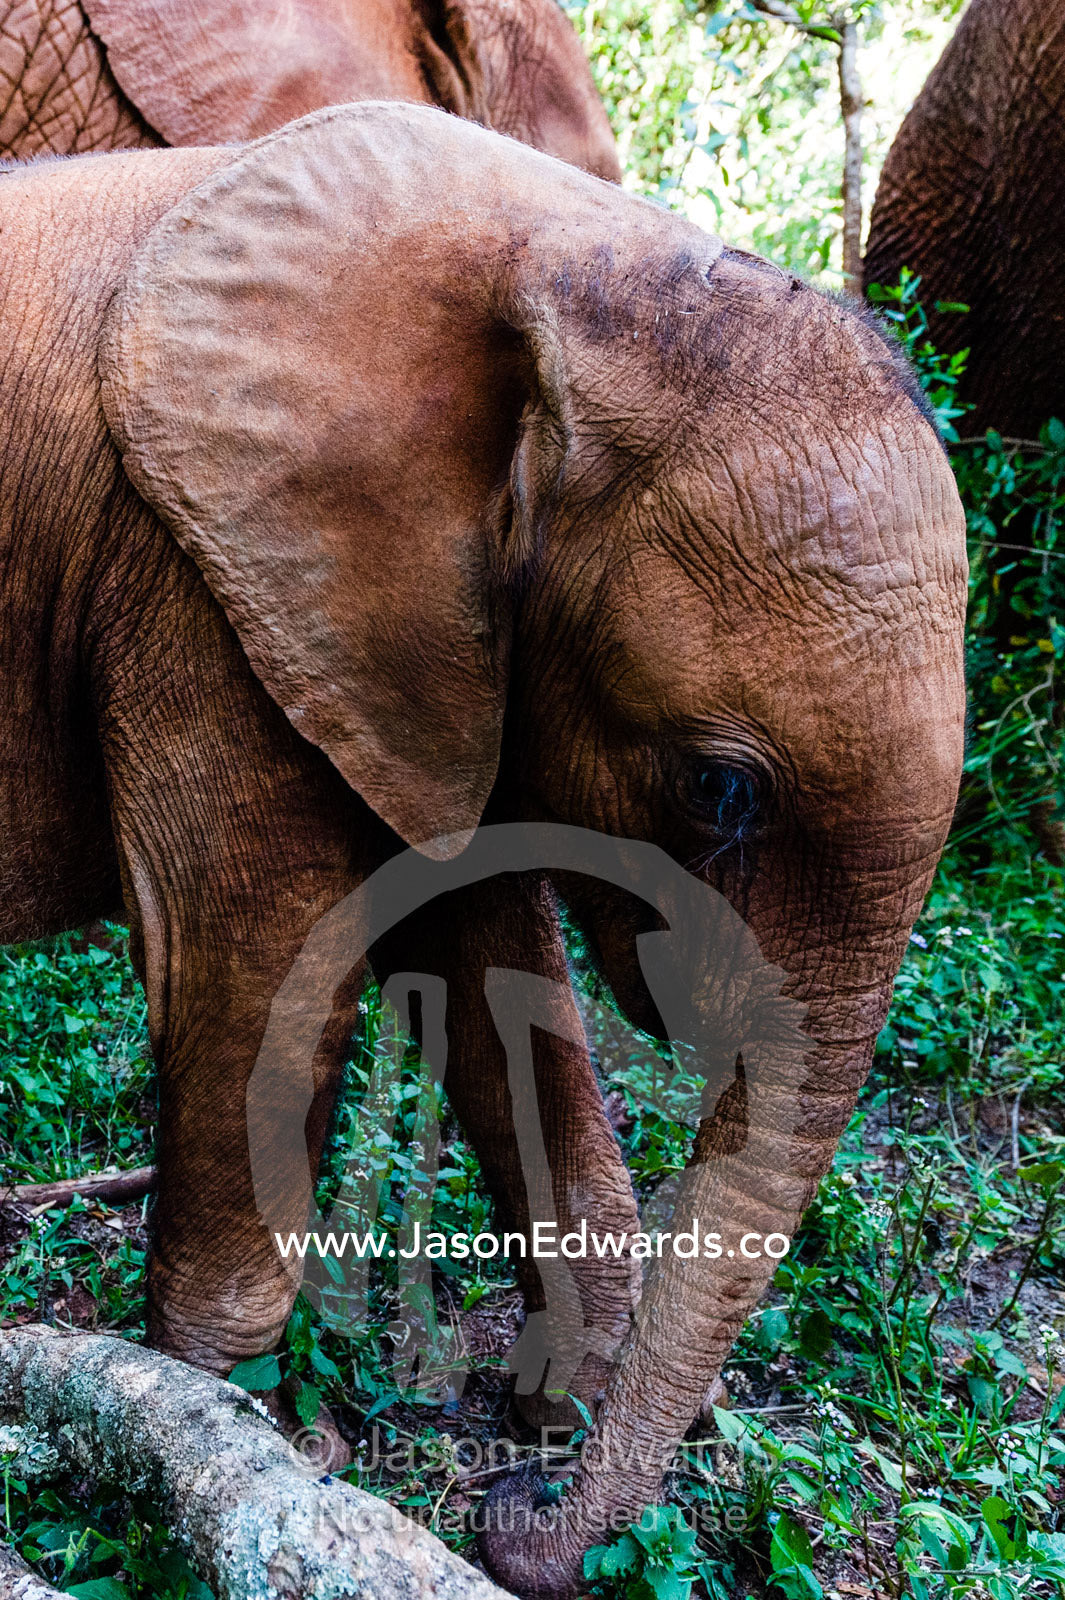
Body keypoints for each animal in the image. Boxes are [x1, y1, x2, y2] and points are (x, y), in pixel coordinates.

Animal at [0, 102, 966, 1597]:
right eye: (719, 788)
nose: (511, 1515)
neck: (570, 259)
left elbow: (483, 955)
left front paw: (541, 1410)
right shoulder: (196, 579)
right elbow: (256, 972)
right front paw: (245, 1434)